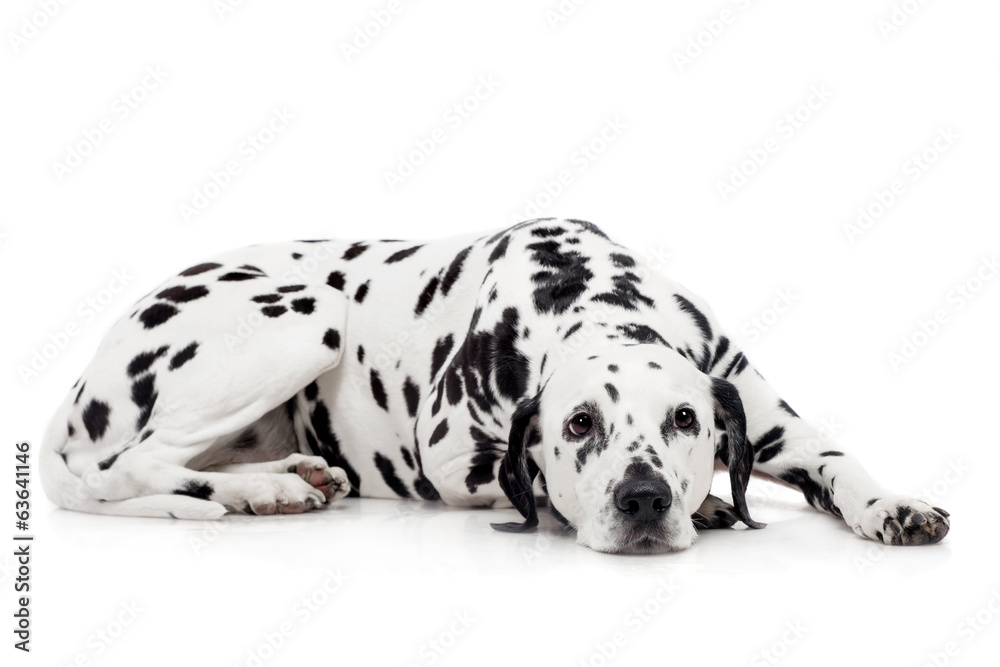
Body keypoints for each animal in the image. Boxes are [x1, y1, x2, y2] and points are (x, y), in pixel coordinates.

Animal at [37, 218, 944, 552]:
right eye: (579, 424)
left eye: (685, 419)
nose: (646, 498)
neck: (586, 292)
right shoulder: (449, 461)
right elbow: (528, 481)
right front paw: (713, 503)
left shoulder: (768, 418)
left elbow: (839, 459)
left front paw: (892, 504)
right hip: (306, 313)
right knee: (135, 464)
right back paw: (266, 491)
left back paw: (285, 475)